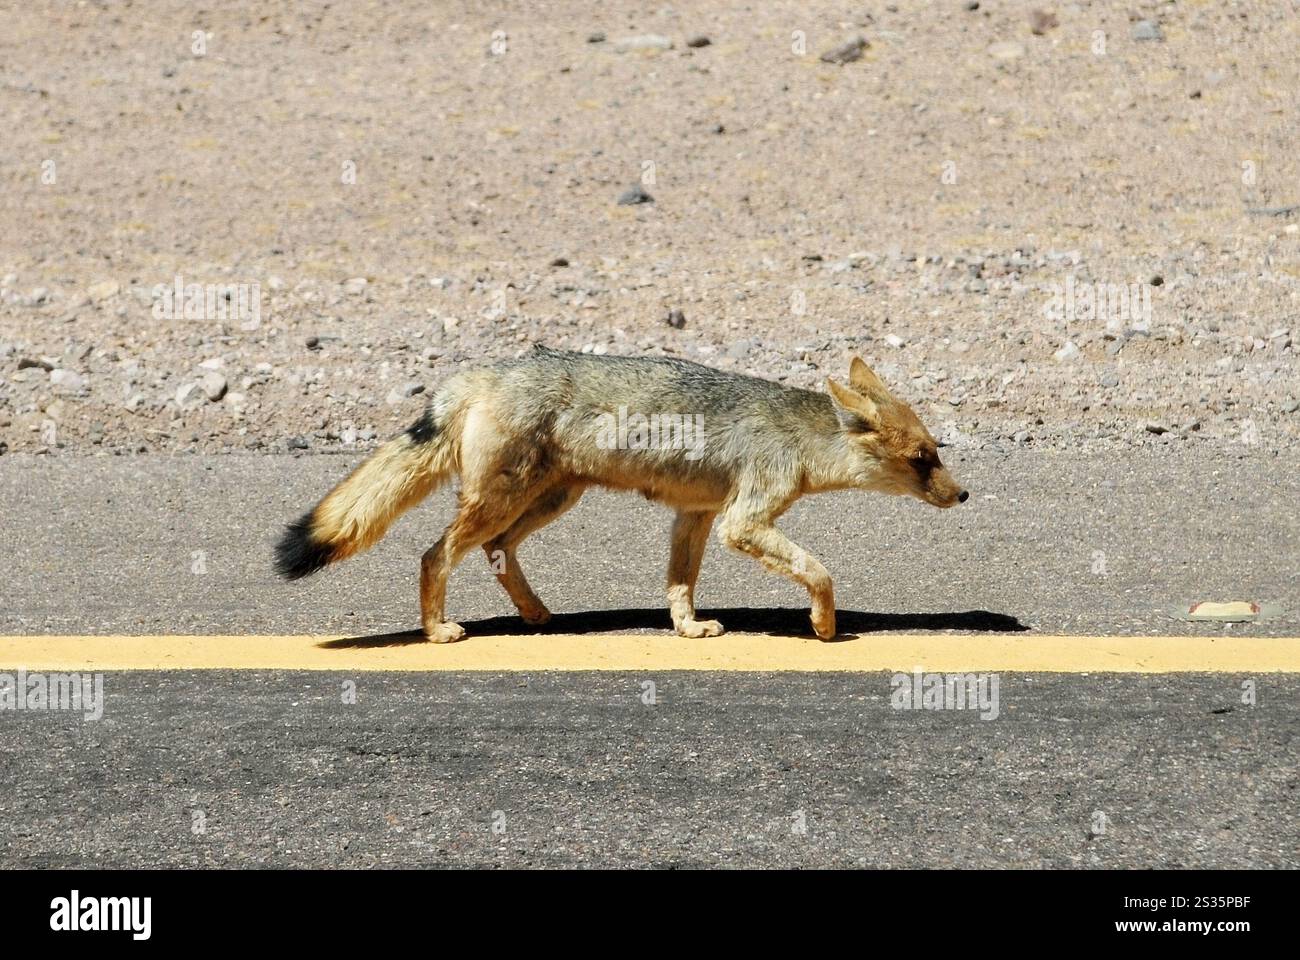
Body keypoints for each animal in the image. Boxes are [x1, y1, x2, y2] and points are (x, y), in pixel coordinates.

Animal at [275, 345, 967, 642]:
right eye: (923, 459)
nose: (963, 495)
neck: (799, 437)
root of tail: (482, 371)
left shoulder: (696, 516)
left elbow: (679, 585)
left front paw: (688, 628)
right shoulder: (741, 522)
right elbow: (819, 571)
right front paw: (824, 627)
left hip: (547, 503)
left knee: (497, 551)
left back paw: (536, 614)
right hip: (507, 502)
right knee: (435, 554)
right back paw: (437, 631)